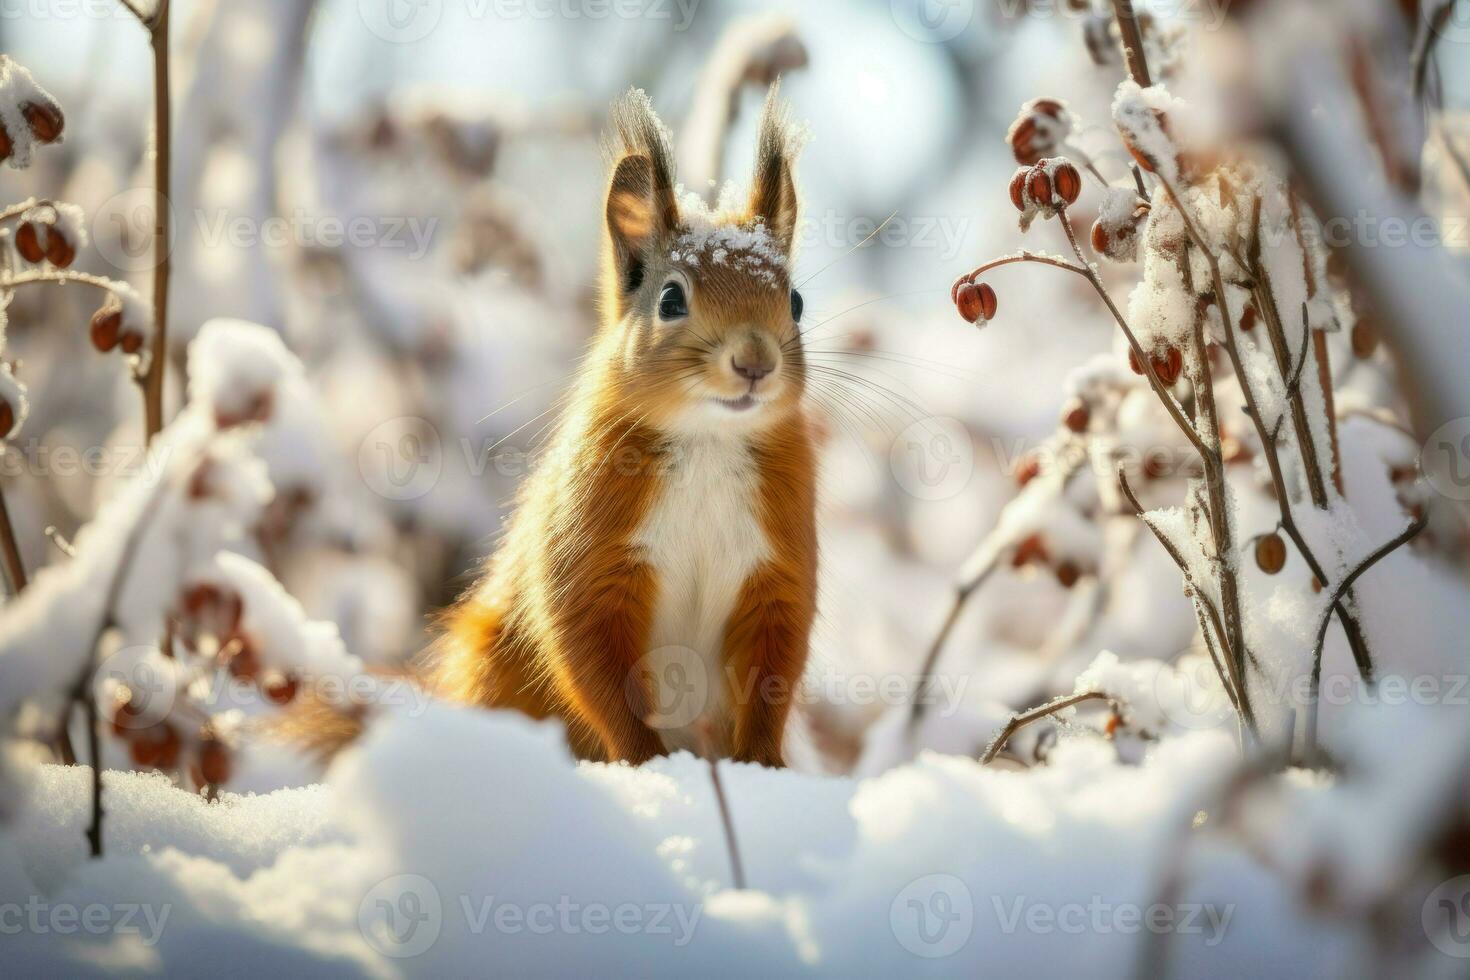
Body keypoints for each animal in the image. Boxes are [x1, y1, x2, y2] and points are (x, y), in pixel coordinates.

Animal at [426, 88, 823, 764]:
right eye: (670, 300)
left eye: (794, 302)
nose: (755, 362)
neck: (708, 442)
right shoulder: (592, 552)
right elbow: (595, 663)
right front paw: (647, 762)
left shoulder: (779, 568)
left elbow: (773, 672)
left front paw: (762, 765)